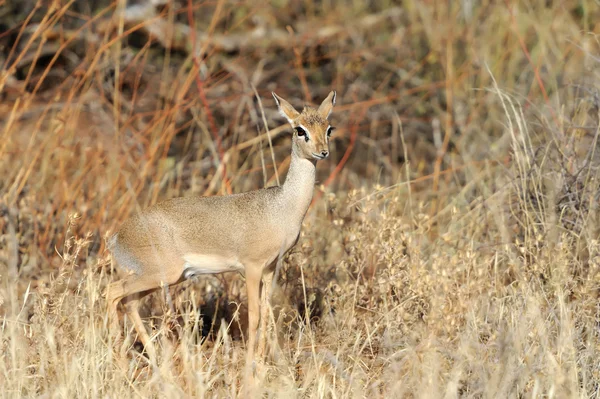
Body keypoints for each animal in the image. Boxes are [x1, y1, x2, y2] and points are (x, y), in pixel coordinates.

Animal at [105, 91, 336, 368]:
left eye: (329, 128)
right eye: (300, 130)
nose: (323, 152)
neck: (282, 207)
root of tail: (117, 237)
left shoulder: (271, 269)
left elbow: (267, 313)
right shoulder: (252, 267)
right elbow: (254, 316)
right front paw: (251, 365)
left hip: (164, 278)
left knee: (129, 303)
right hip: (160, 274)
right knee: (112, 292)